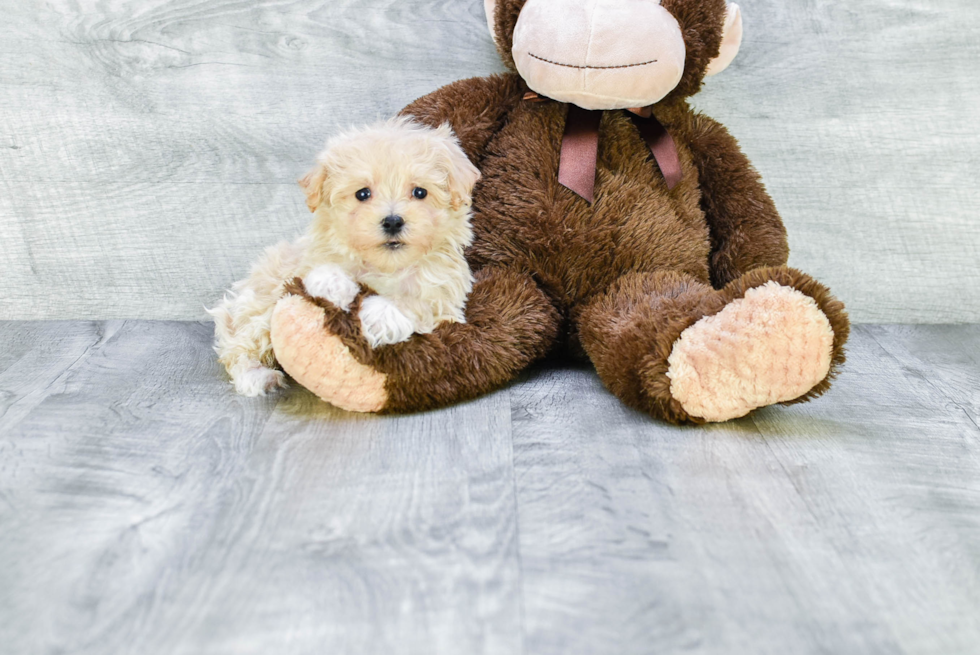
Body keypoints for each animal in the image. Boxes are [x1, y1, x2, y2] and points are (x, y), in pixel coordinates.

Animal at [209, 115, 480, 398]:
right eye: (362, 193)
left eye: (420, 192)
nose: (393, 221)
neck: (386, 267)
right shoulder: (307, 262)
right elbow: (322, 269)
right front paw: (333, 285)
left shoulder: (445, 300)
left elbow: (418, 302)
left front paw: (381, 316)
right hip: (259, 308)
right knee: (240, 347)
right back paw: (257, 376)